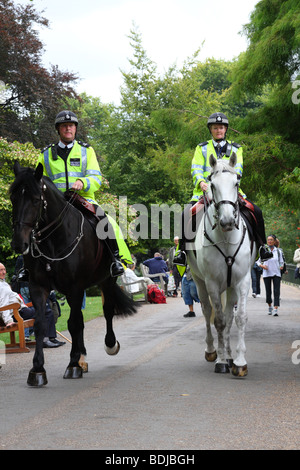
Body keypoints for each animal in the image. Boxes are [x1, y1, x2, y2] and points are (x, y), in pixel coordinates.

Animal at [9, 162, 136, 386]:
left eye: (35, 200)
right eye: (13, 198)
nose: (18, 243)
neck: (52, 242)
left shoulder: (74, 287)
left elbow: (74, 323)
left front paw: (73, 364)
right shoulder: (38, 287)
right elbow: (41, 324)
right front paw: (37, 369)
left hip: (107, 281)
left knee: (107, 311)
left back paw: (108, 345)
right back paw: (82, 357)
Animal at [188, 155, 255, 378]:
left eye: (236, 183)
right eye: (212, 185)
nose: (226, 221)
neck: (225, 238)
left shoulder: (242, 281)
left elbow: (239, 318)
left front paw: (240, 362)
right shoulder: (212, 283)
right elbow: (218, 320)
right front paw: (221, 361)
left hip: (231, 286)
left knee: (229, 315)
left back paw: (229, 354)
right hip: (199, 281)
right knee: (207, 311)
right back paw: (213, 351)